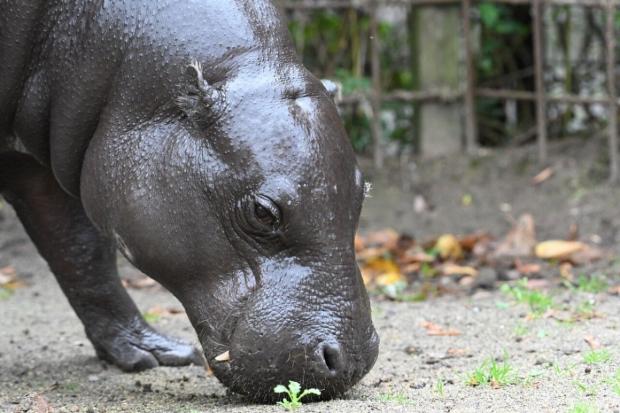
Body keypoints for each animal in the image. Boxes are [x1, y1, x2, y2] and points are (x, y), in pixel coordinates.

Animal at [0, 0, 378, 400]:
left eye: (362, 193)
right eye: (261, 212)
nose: (351, 359)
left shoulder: (36, 168)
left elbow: (81, 252)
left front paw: (152, 353)